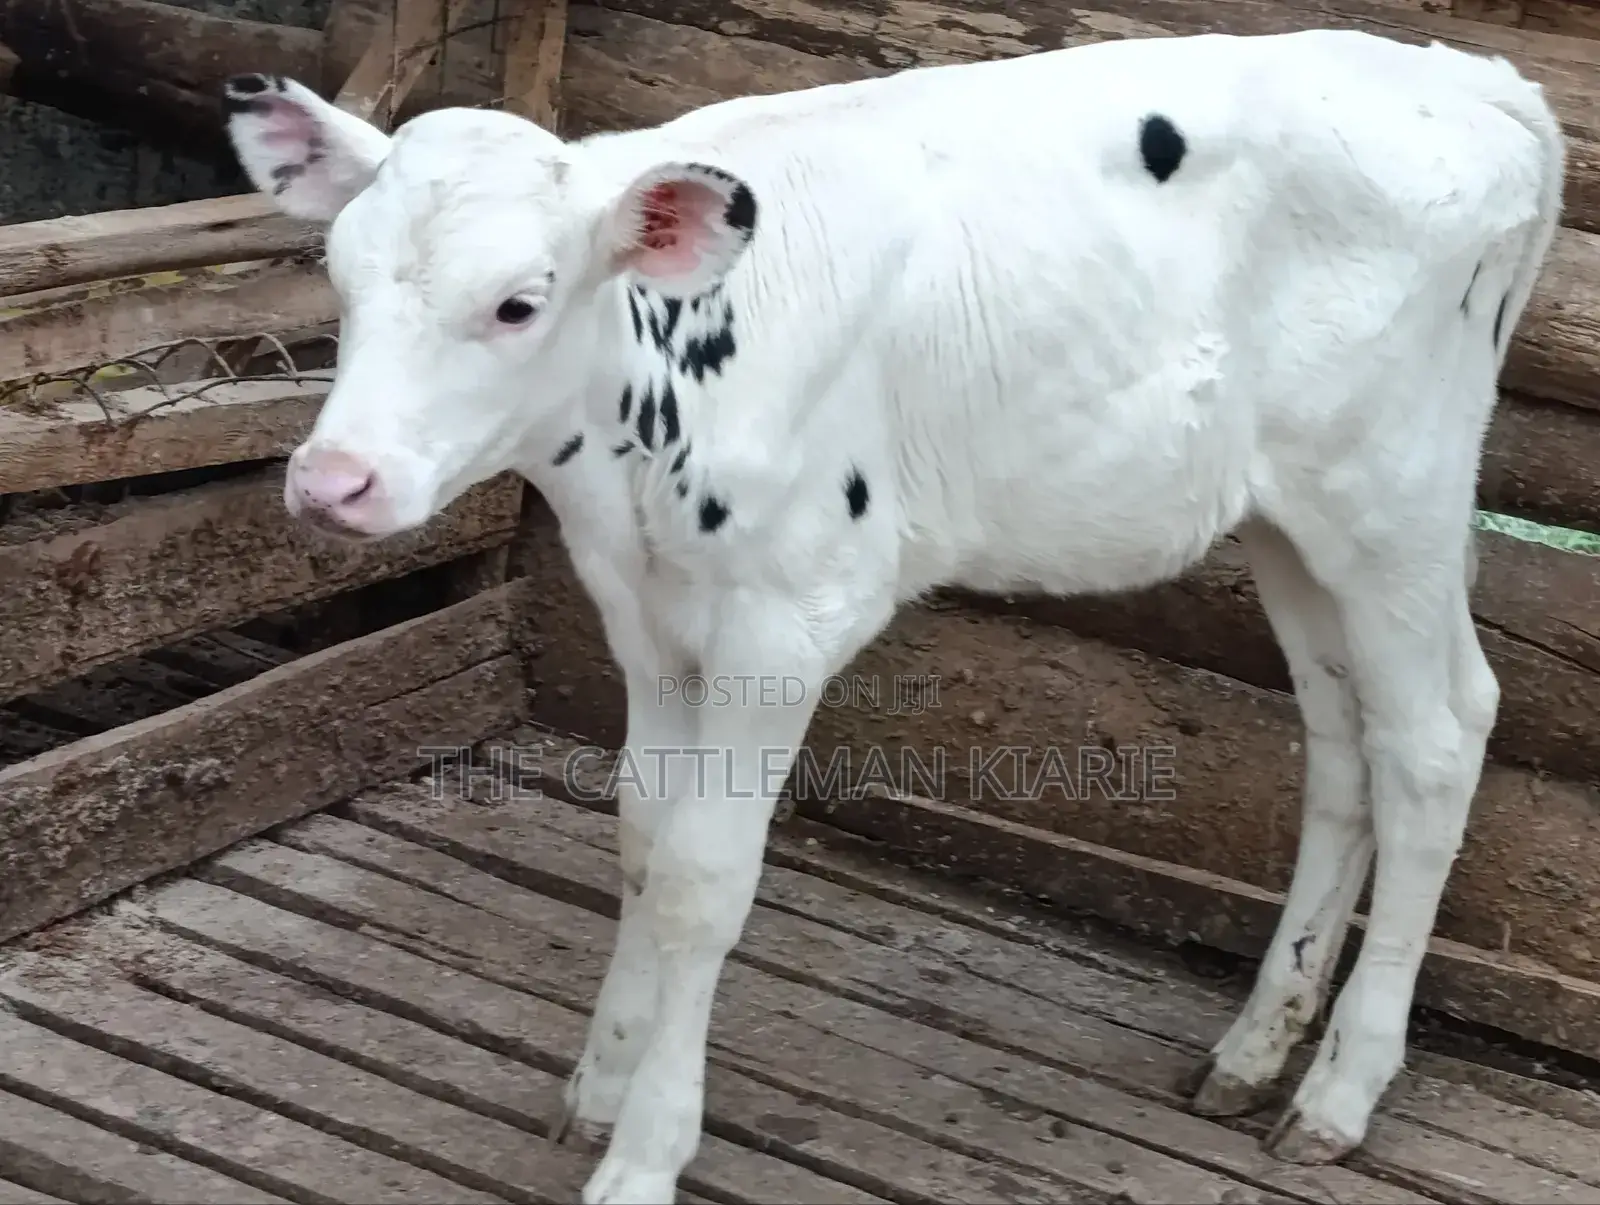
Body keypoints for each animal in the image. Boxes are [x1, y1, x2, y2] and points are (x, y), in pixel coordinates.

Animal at [221, 26, 1563, 1202]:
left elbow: (705, 877)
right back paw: (1255, 1046)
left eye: (517, 302)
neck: (637, 429)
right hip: (1289, 519)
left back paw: (1340, 1090)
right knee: (1343, 742)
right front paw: (600, 1079)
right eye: (338, 274)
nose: (333, 481)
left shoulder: (786, 619)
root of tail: (1478, 79)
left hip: (1393, 494)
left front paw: (645, 1150)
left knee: (1436, 737)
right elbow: (646, 834)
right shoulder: (644, 611)